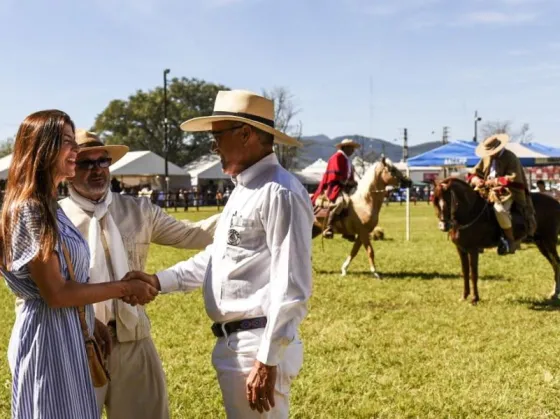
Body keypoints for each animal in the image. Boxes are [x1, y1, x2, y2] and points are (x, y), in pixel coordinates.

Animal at [434, 178, 560, 306]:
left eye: (448, 201)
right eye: (436, 201)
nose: (443, 226)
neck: (471, 213)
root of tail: (556, 202)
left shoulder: (473, 250)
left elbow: (473, 273)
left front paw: (475, 298)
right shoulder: (461, 250)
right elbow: (465, 272)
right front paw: (464, 296)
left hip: (549, 241)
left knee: (557, 263)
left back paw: (555, 293)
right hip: (541, 243)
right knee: (554, 264)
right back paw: (554, 292)